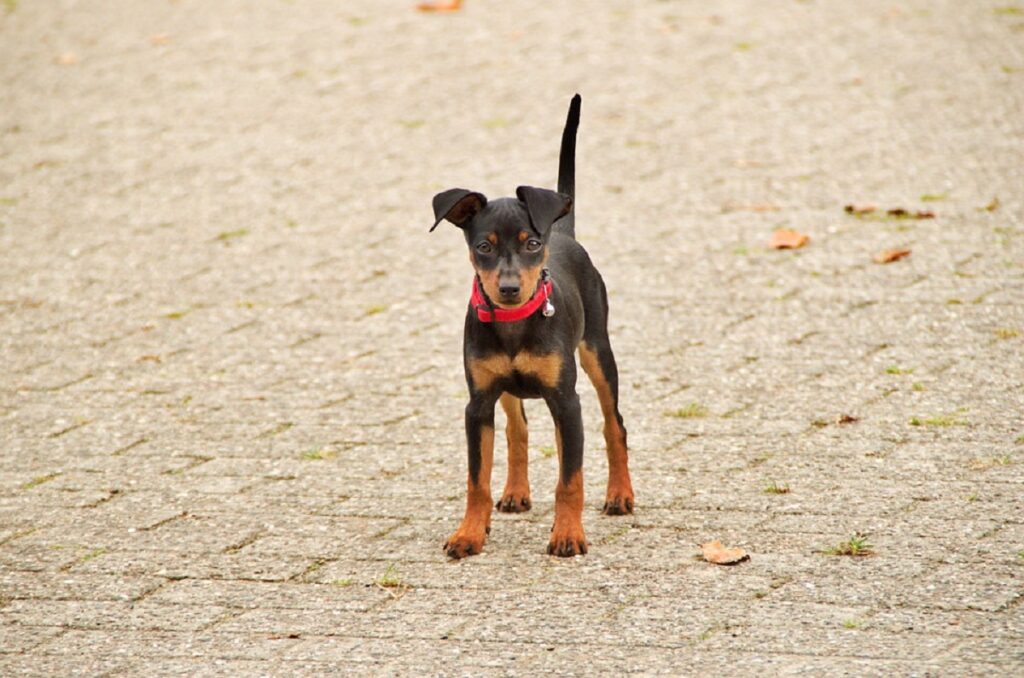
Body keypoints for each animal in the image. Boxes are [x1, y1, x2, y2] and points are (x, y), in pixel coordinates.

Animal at [425, 95, 630, 561]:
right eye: (483, 247)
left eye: (532, 244)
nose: (508, 288)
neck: (515, 324)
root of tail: (565, 230)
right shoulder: (478, 404)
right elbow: (476, 480)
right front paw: (469, 533)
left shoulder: (567, 401)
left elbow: (570, 479)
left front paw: (568, 534)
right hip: (507, 389)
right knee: (518, 428)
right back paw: (516, 492)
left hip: (597, 354)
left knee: (614, 425)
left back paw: (619, 495)